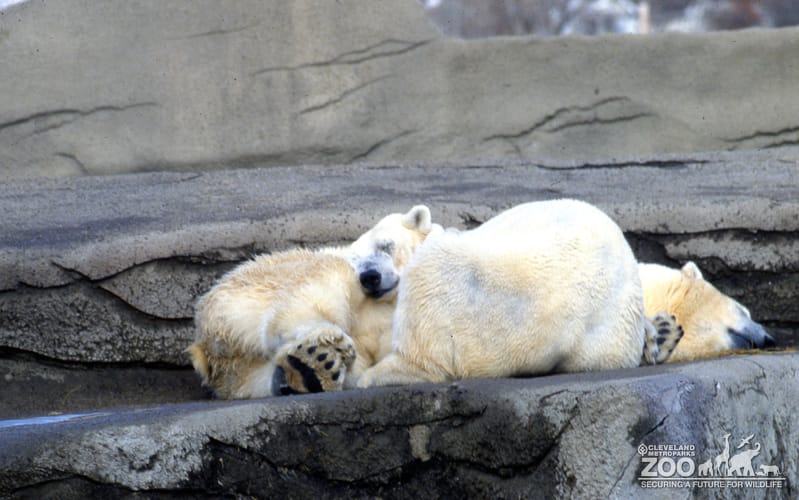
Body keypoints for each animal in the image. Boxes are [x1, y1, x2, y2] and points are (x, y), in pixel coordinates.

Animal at [188, 205, 438, 399]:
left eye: (386, 245)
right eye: (356, 260)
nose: (370, 277)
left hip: (233, 359)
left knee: (246, 379)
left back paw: (305, 372)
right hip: (255, 289)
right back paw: (322, 348)